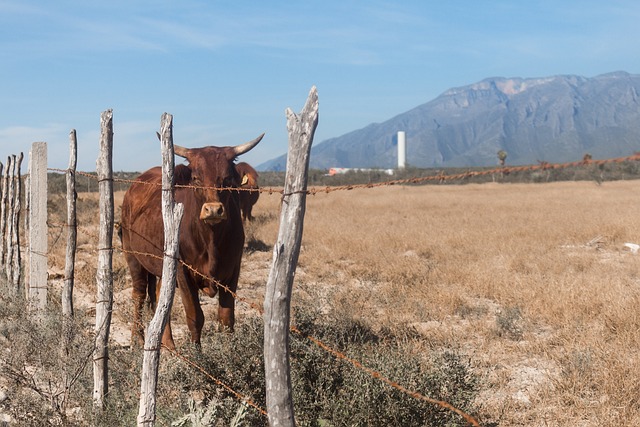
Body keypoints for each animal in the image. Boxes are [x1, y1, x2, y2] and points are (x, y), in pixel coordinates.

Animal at [120, 134, 262, 352]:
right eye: (196, 178)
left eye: (227, 179)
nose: (213, 210)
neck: (211, 240)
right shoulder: (183, 272)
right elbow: (195, 317)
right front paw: (197, 355)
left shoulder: (233, 271)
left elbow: (226, 319)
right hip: (133, 257)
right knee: (139, 295)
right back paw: (138, 340)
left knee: (159, 297)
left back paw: (169, 346)